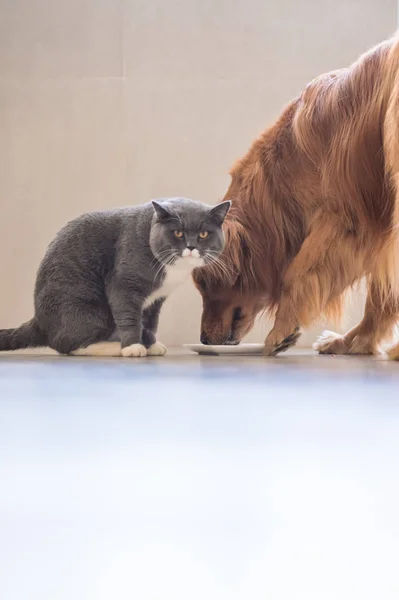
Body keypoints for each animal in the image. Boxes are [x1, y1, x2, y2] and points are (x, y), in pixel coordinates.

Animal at [0, 198, 231, 356]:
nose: (191, 247)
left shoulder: (156, 299)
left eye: (203, 234)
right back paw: (111, 347)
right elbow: (130, 318)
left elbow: (150, 322)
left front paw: (151, 344)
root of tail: (39, 322)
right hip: (87, 308)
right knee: (66, 344)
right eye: (178, 233)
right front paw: (133, 347)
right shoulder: (124, 286)